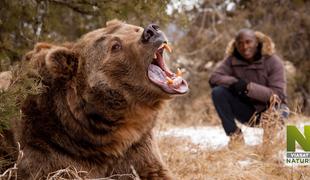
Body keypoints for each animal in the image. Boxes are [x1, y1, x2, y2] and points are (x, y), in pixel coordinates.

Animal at [12, 20, 189, 180]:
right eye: (115, 46)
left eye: (134, 28)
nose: (151, 31)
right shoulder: (52, 147)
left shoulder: (138, 145)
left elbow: (155, 171)